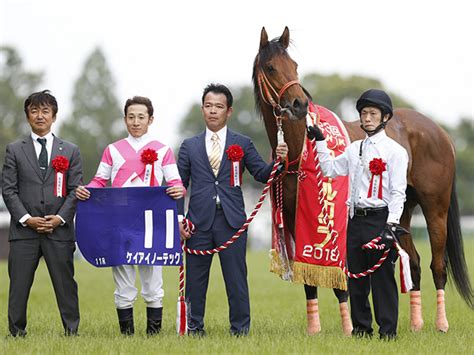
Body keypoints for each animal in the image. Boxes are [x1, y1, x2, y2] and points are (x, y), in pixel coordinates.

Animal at [252, 26, 470, 336]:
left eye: (294, 65)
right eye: (270, 67)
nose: (299, 104)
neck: (300, 152)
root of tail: (440, 131)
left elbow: (340, 278)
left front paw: (348, 327)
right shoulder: (296, 220)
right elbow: (309, 277)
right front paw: (314, 329)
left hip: (435, 209)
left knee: (437, 266)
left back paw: (441, 324)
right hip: (402, 211)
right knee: (413, 263)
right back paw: (416, 324)